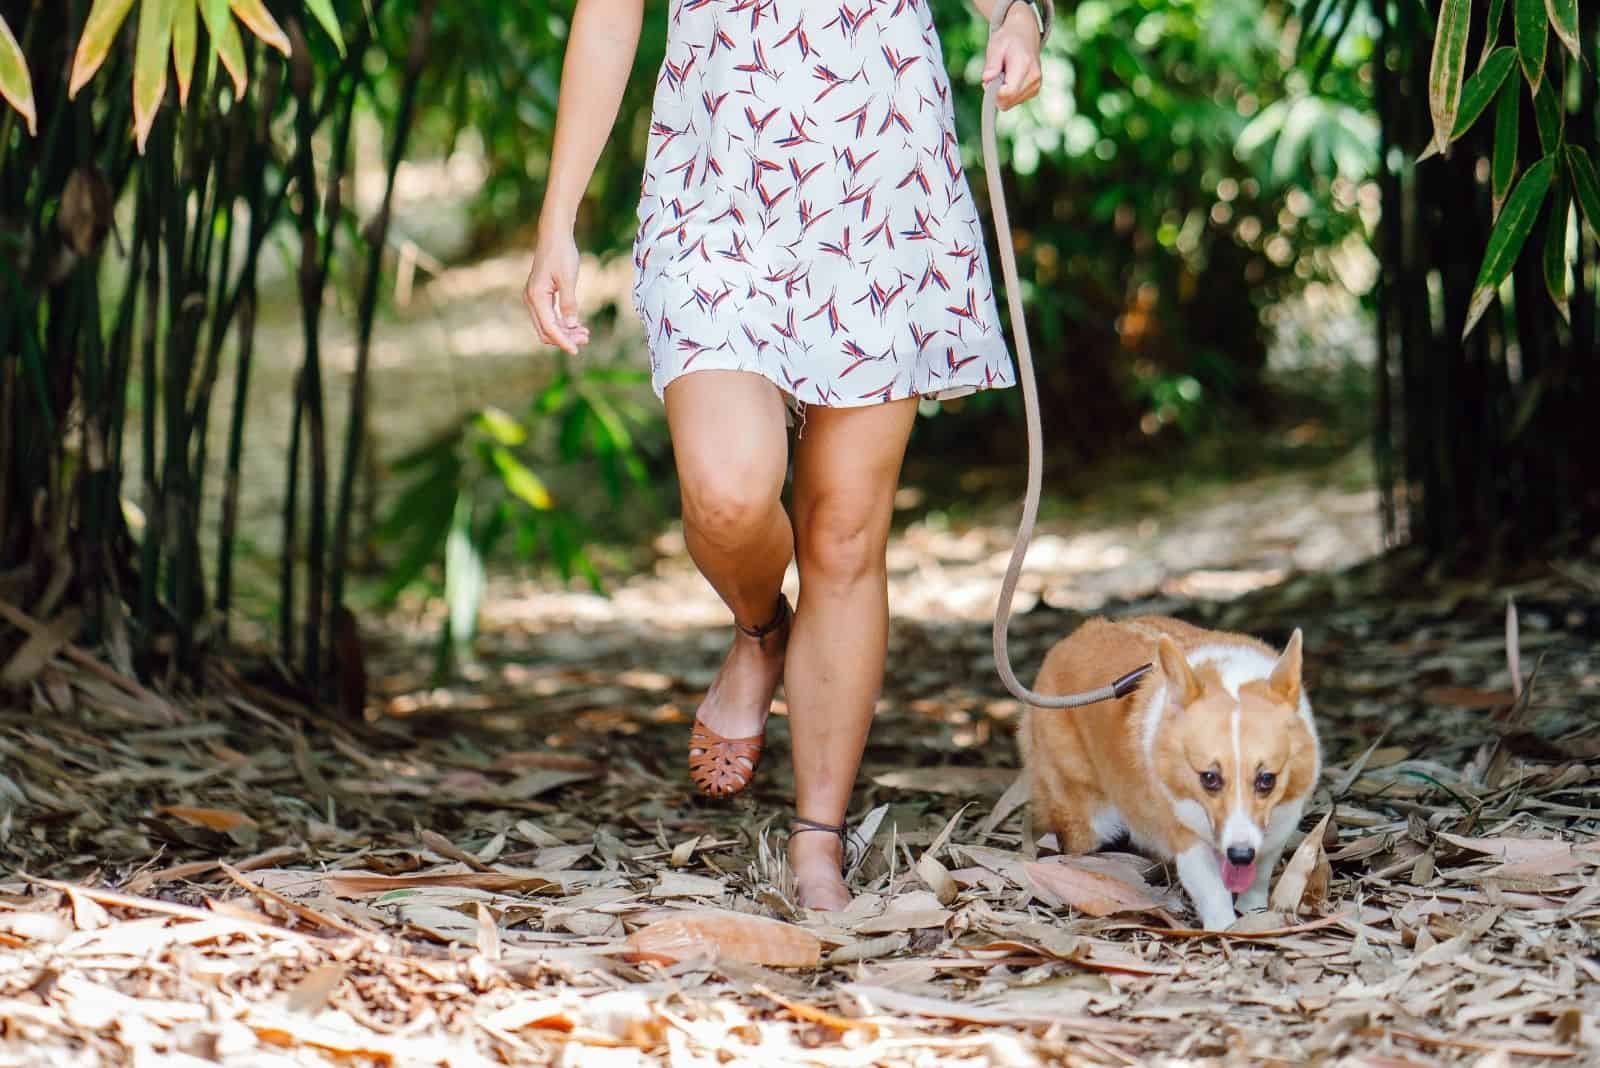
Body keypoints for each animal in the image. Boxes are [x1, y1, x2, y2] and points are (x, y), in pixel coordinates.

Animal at [1017, 613, 1318, 927]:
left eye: (1266, 779)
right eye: (1209, 778)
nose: (1240, 854)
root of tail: (1068, 640)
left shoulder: (1275, 829)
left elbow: (1258, 877)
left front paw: (1254, 915)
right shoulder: (1186, 837)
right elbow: (1212, 891)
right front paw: (1225, 928)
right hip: (1086, 816)